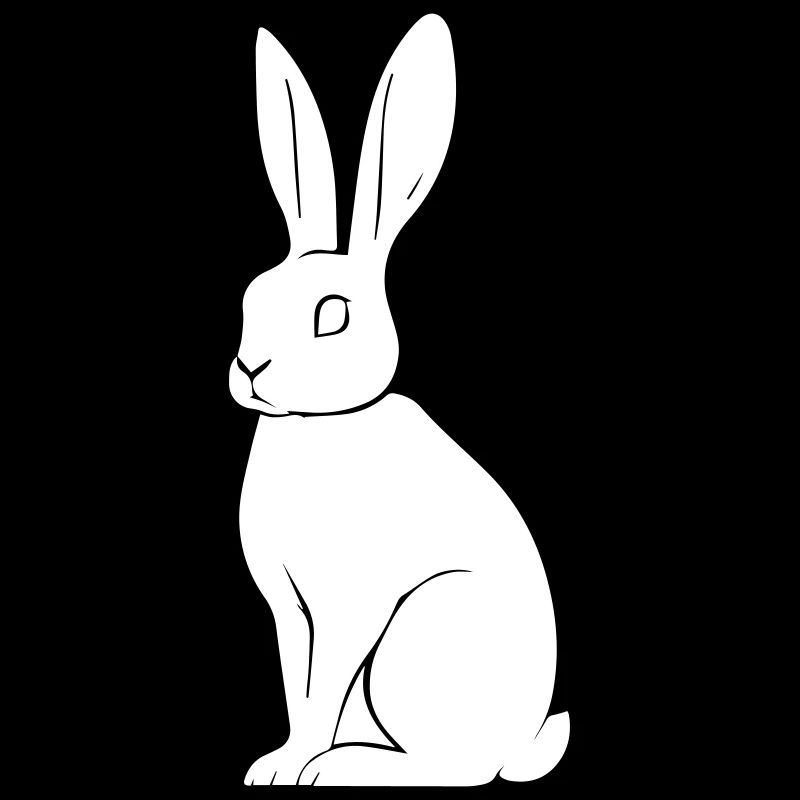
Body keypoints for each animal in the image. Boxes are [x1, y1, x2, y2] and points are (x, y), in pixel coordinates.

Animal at [228, 15, 569, 787]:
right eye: (251, 298)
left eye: (332, 315)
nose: (250, 369)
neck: (320, 424)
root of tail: (519, 747)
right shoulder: (289, 612)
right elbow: (297, 686)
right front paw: (275, 765)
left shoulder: (351, 607)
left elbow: (322, 688)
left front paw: (298, 769)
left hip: (419, 638)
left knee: (455, 770)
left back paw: (342, 767)